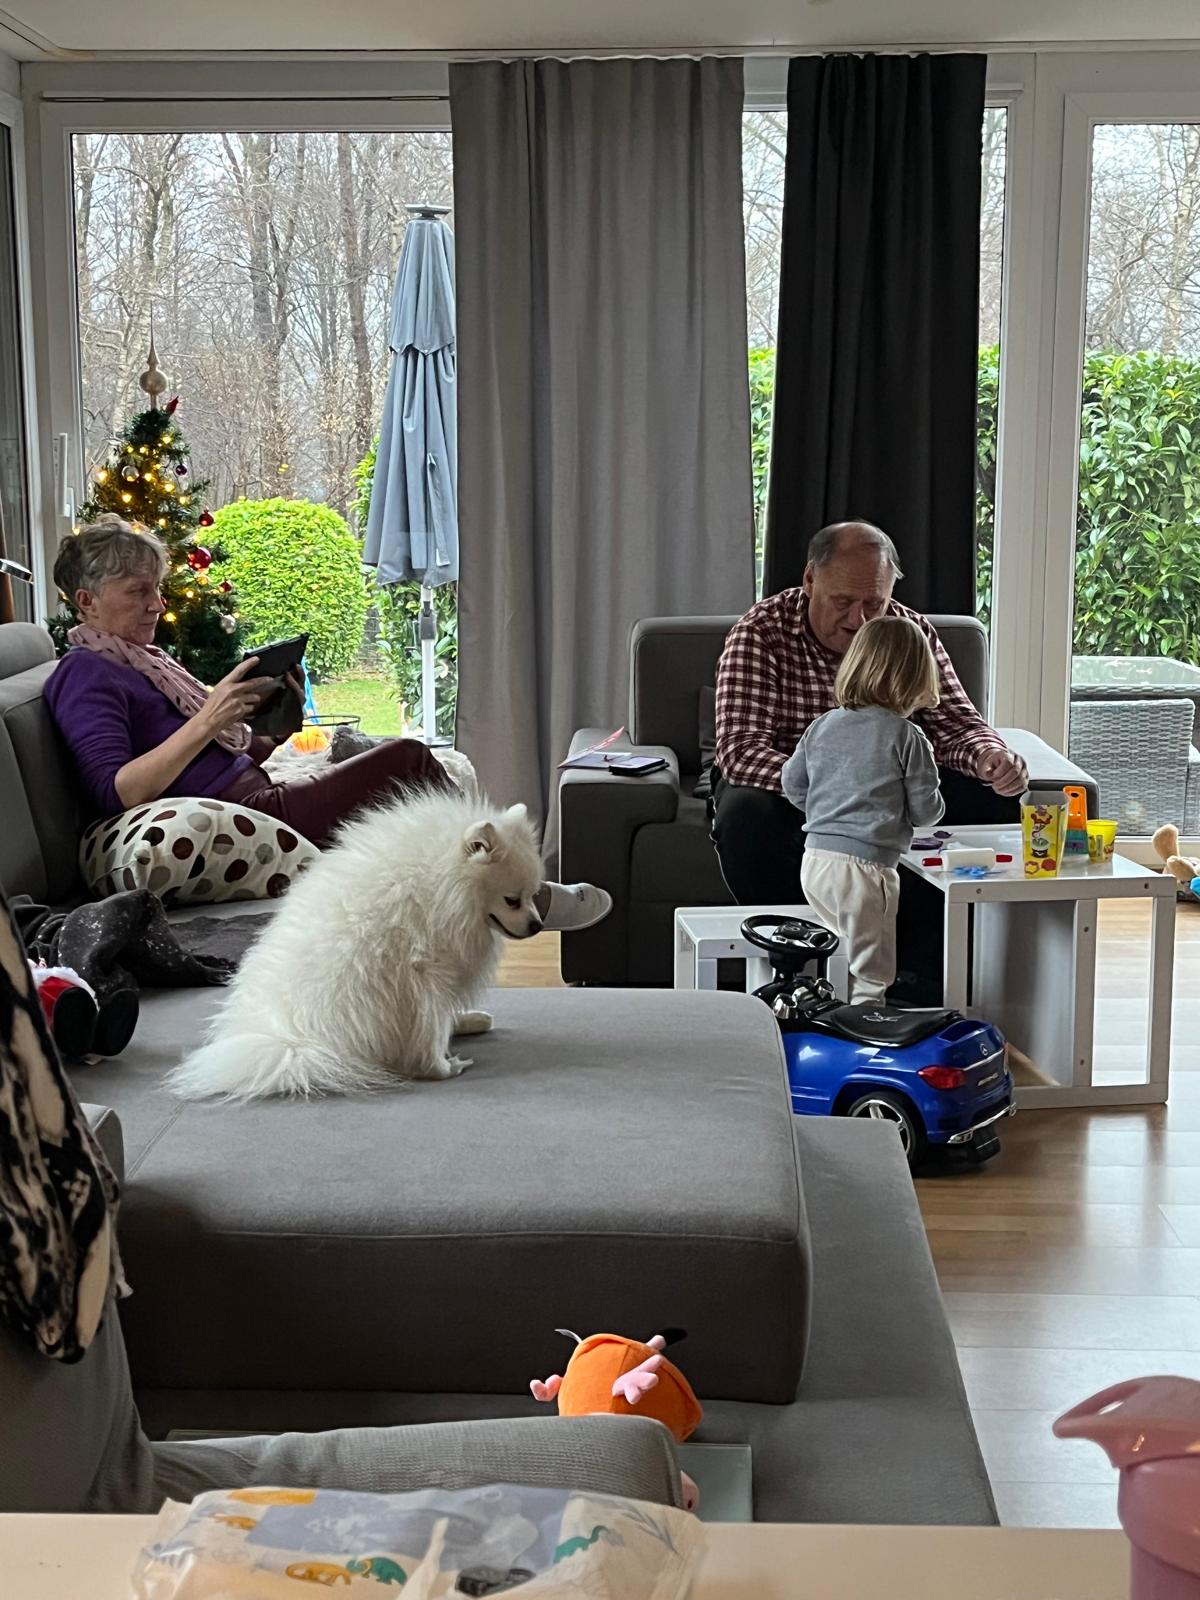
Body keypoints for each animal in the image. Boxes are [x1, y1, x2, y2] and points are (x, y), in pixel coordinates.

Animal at [168, 790, 544, 1100]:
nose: (538, 925)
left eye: (534, 894)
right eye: (512, 900)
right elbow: (431, 1025)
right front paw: (440, 1066)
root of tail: (294, 1041)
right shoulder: (426, 968)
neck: (444, 883)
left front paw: (464, 1023)